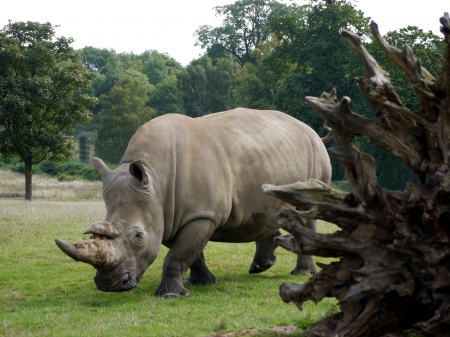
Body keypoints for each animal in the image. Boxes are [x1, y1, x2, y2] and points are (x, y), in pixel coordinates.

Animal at [55, 108, 330, 296]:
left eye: (138, 237)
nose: (109, 285)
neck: (155, 179)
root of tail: (311, 130)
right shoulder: (171, 213)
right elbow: (191, 252)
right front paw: (202, 283)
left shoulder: (201, 214)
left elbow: (178, 254)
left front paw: (170, 295)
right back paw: (260, 267)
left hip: (316, 153)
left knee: (307, 212)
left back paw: (302, 274)